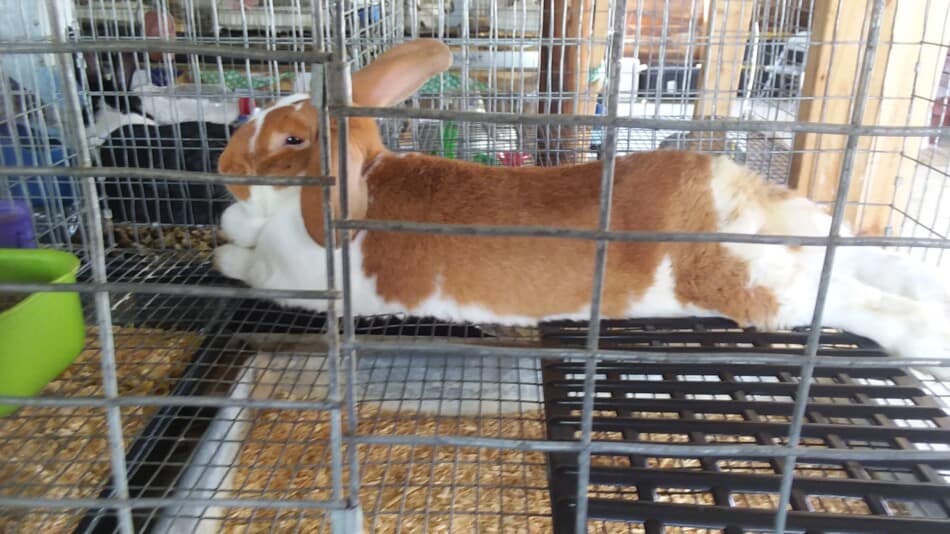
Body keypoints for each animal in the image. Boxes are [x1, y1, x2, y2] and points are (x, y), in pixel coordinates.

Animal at [214, 38, 950, 382]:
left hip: (747, 278)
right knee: (870, 261)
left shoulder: (292, 278)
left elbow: (241, 262)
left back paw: (926, 335)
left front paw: (224, 240)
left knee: (854, 299)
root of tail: (719, 184)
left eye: (291, 140)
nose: (221, 169)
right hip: (799, 229)